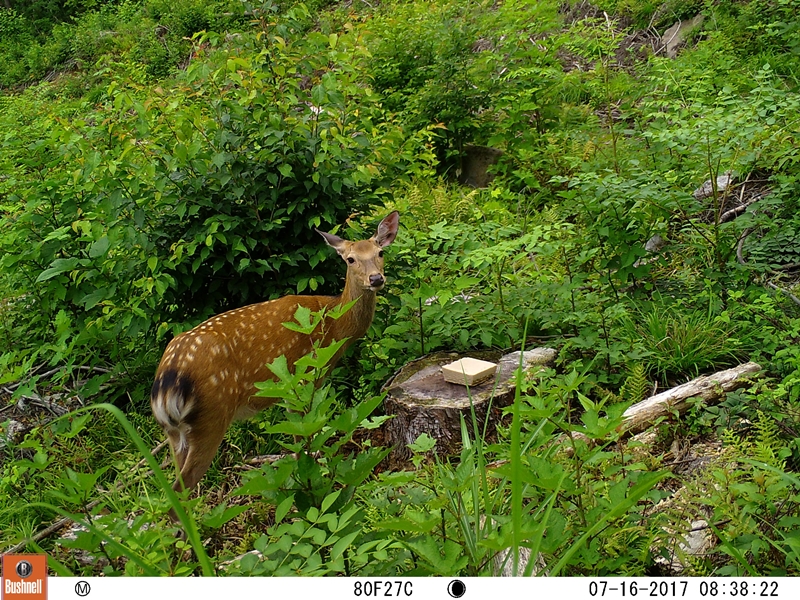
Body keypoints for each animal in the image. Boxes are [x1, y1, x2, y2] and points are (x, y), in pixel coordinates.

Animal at [150, 211, 400, 516]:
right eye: (350, 259)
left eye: (380, 252)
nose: (376, 278)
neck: (335, 325)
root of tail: (167, 376)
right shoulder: (305, 377)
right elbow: (303, 440)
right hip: (212, 415)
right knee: (179, 496)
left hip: (174, 432)